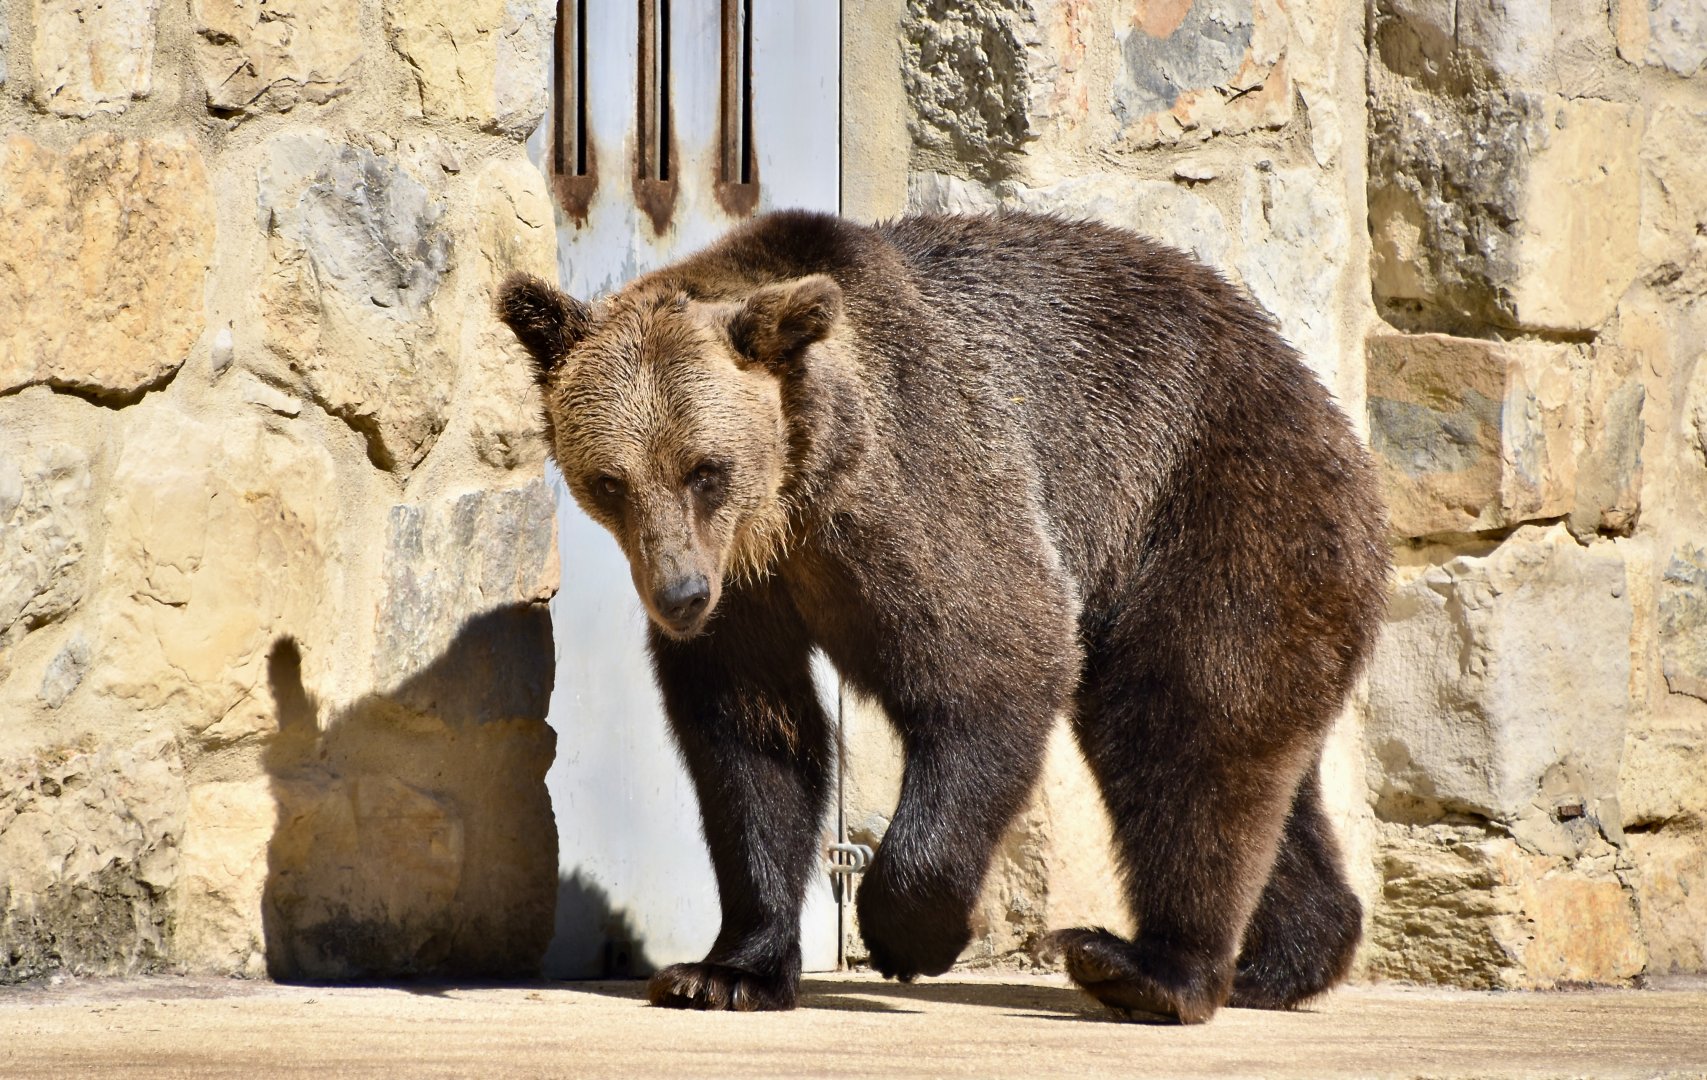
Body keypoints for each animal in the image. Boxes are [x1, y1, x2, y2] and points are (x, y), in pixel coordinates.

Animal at [497, 210, 1389, 1023]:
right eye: (610, 481)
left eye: (704, 469)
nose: (679, 596)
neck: (799, 497)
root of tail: (1332, 416)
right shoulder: (751, 592)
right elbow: (754, 741)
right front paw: (725, 972)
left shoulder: (916, 491)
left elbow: (993, 659)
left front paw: (911, 935)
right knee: (1251, 756)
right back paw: (1281, 961)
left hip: (1213, 507)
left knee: (1184, 722)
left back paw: (1146, 968)